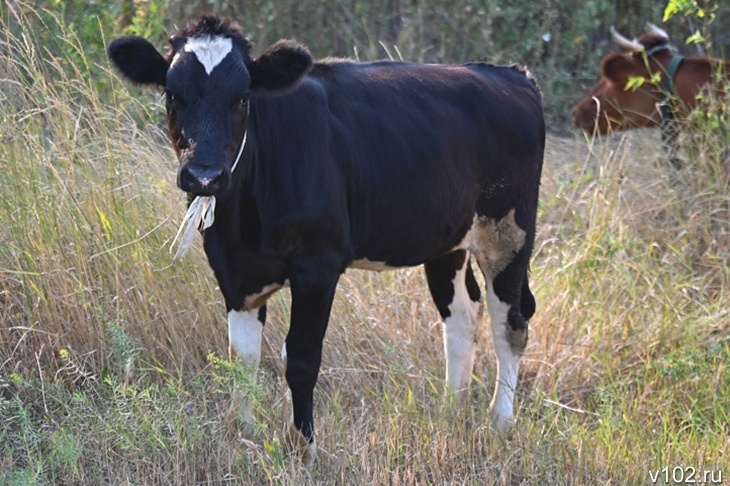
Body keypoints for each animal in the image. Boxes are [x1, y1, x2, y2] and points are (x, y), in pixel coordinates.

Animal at [108, 14, 540, 464]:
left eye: (243, 97)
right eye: (173, 96)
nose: (204, 175)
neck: (241, 222)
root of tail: (510, 74)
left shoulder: (318, 265)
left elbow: (300, 357)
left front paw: (304, 445)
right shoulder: (232, 269)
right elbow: (242, 356)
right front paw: (242, 432)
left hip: (508, 232)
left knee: (510, 321)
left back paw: (499, 423)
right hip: (447, 240)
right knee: (461, 315)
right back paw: (450, 412)